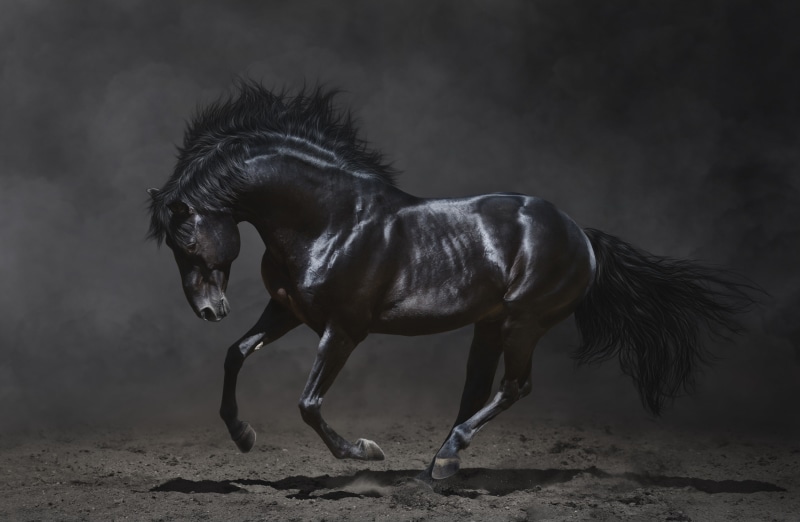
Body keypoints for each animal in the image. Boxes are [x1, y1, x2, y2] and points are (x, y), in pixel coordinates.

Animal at [147, 81, 756, 480]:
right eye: (173, 247)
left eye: (187, 240)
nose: (209, 310)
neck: (331, 221)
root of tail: (581, 234)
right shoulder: (288, 311)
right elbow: (236, 354)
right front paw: (243, 435)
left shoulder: (343, 329)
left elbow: (309, 403)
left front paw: (365, 452)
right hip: (490, 324)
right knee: (477, 390)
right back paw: (440, 464)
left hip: (524, 322)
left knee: (514, 387)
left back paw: (445, 458)